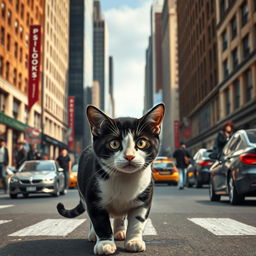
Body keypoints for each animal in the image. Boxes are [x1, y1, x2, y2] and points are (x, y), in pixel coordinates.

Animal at [56, 103, 164, 254]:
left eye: (141, 142)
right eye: (114, 144)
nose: (129, 156)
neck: (124, 178)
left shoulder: (144, 197)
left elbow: (137, 221)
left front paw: (134, 241)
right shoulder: (94, 198)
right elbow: (100, 221)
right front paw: (105, 244)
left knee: (120, 216)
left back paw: (119, 231)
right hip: (83, 192)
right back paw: (93, 235)